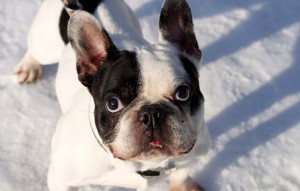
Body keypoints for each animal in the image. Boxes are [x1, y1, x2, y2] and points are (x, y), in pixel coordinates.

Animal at [15, 0, 210, 190]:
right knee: (34, 51)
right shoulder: (61, 179)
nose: (152, 113)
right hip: (44, 44)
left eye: (183, 93)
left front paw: (184, 187)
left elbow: (181, 175)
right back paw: (29, 67)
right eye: (113, 103)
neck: (143, 165)